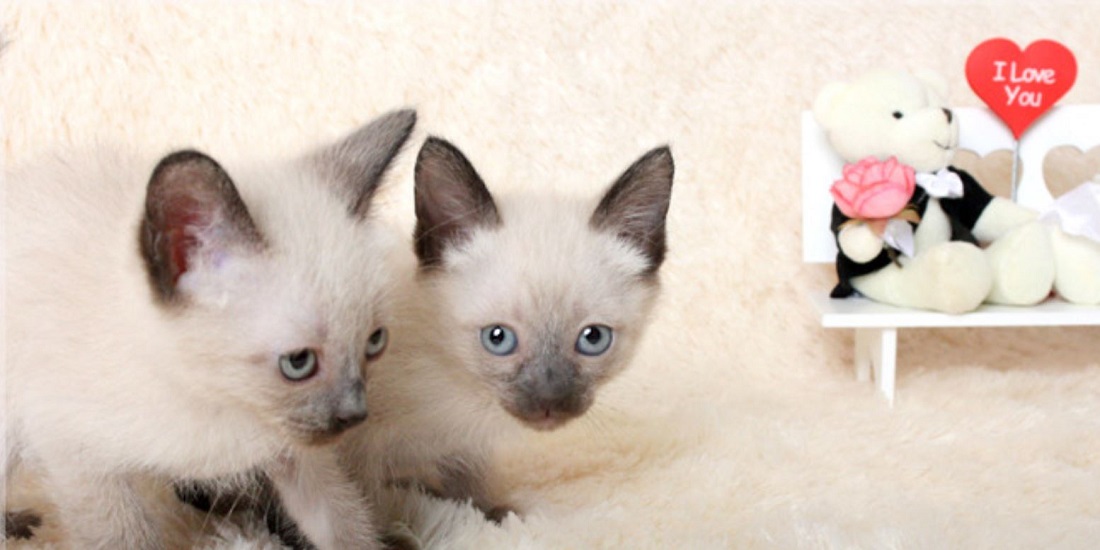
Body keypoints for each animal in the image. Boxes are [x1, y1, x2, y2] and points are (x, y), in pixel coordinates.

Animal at [3, 109, 416, 549]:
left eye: (374, 342)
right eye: (299, 363)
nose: (355, 414)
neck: (214, 401)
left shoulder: (292, 449)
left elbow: (342, 522)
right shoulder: (74, 452)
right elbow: (124, 536)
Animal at [341, 136, 675, 520]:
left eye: (593, 339)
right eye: (498, 338)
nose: (549, 402)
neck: (453, 389)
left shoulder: (465, 444)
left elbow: (469, 474)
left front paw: (487, 512)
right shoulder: (353, 448)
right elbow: (360, 508)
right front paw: (397, 529)